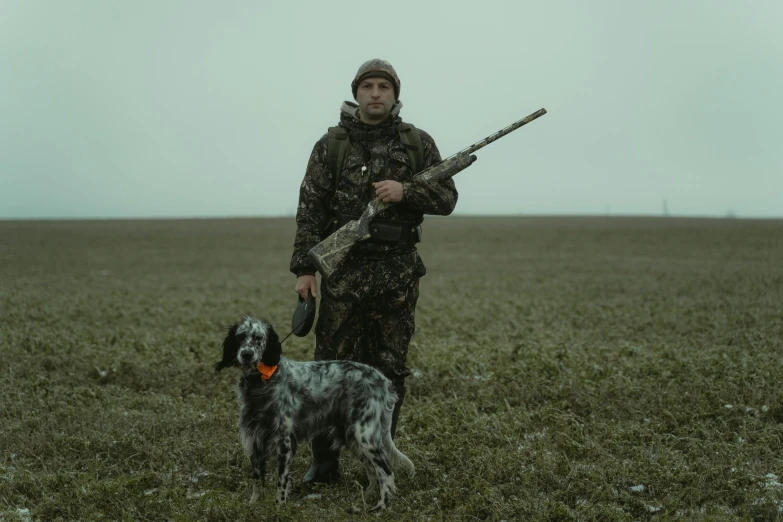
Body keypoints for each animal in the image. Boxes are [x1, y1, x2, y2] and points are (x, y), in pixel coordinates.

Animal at [211, 312, 414, 508]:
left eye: (258, 337)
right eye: (240, 337)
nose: (246, 354)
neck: (262, 382)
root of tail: (384, 380)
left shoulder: (285, 441)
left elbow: (280, 483)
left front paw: (279, 509)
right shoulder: (255, 441)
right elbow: (257, 482)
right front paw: (253, 506)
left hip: (365, 435)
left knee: (386, 473)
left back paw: (380, 508)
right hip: (351, 437)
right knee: (373, 472)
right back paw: (363, 501)